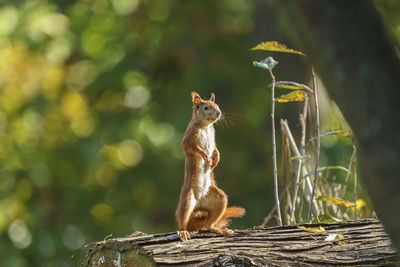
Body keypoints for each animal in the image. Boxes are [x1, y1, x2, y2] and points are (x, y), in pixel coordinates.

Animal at [177, 92, 245, 243]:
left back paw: (217, 228)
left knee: (209, 223)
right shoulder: (189, 136)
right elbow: (190, 147)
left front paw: (216, 158)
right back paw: (183, 231)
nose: (219, 113)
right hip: (187, 199)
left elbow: (215, 149)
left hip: (218, 199)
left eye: (217, 105)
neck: (206, 126)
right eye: (206, 107)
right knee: (183, 218)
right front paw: (204, 155)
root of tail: (199, 204)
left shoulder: (213, 136)